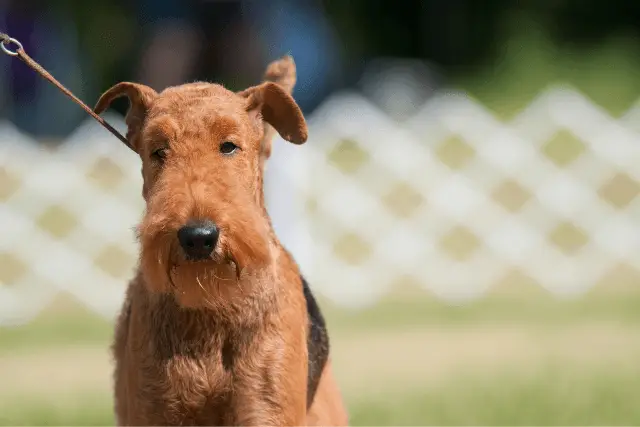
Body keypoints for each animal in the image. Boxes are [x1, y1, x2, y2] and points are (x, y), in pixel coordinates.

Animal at [92, 56, 348, 424]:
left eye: (228, 145)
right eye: (158, 151)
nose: (198, 237)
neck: (212, 308)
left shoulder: (264, 409)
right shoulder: (154, 410)